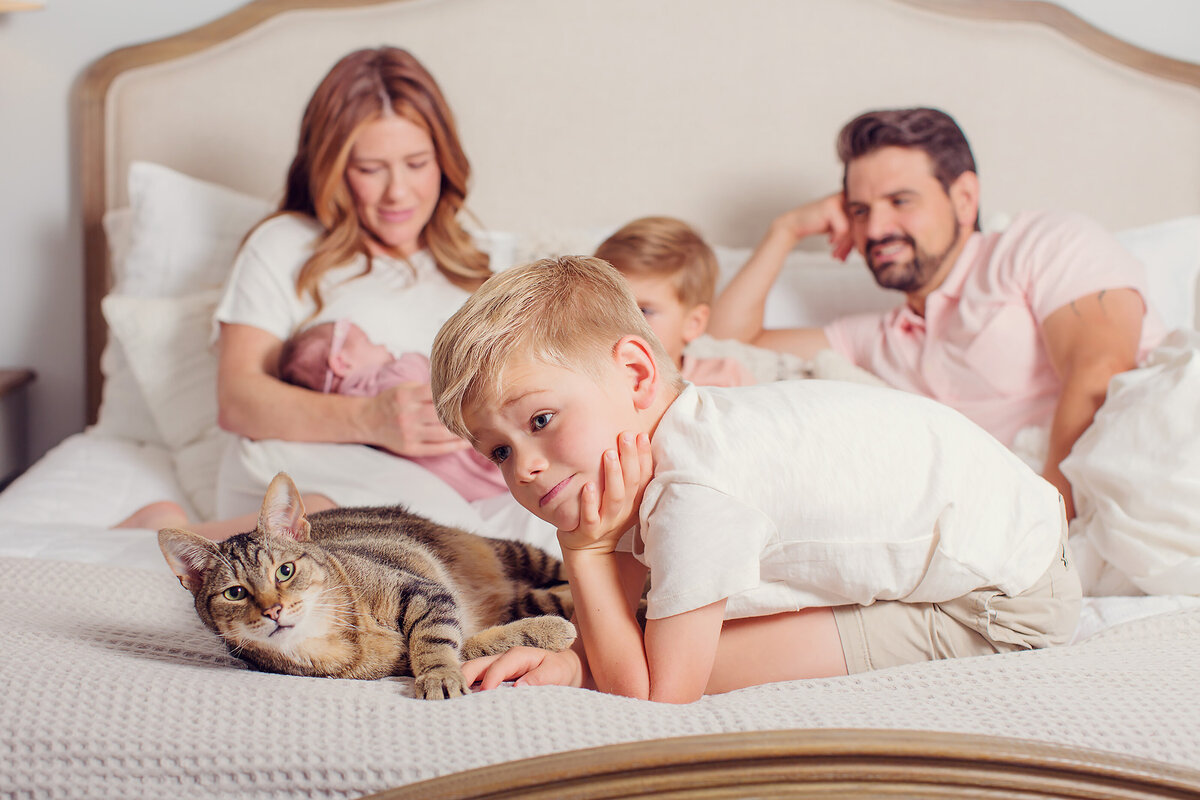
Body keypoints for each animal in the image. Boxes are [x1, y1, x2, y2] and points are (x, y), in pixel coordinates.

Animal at [158, 472, 571, 695]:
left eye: (284, 571)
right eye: (235, 593)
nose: (274, 610)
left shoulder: (422, 591)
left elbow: (434, 640)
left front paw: (439, 675)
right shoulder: (406, 656)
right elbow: (472, 645)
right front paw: (546, 633)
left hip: (513, 553)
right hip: (520, 597)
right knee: (543, 599)